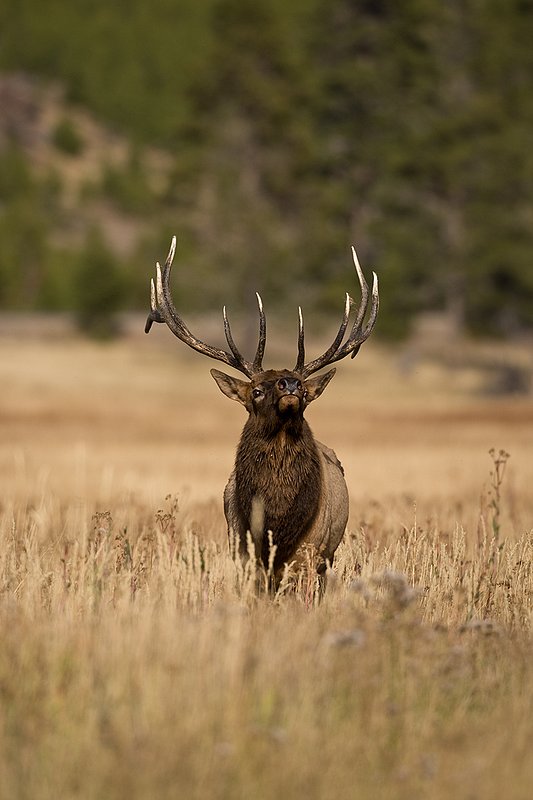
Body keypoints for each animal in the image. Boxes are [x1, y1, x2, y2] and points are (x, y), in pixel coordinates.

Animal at [145, 237, 379, 584]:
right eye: (255, 391)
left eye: (305, 392)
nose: (289, 384)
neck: (276, 522)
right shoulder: (241, 548)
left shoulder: (310, 553)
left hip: (328, 555)